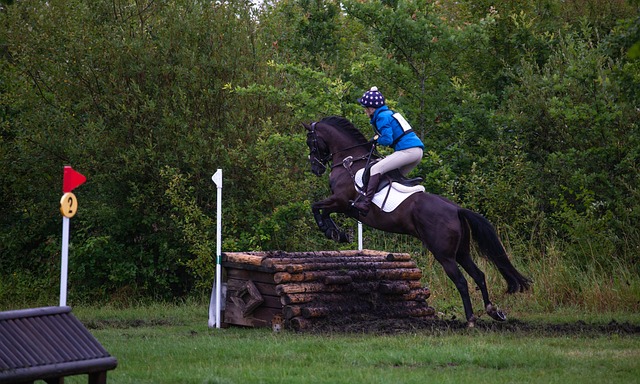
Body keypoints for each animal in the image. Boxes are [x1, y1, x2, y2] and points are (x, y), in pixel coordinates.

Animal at [304, 115, 528, 326]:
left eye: (310, 142)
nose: (316, 168)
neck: (349, 161)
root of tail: (456, 210)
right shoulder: (340, 203)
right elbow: (321, 209)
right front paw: (336, 232)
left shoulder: (342, 201)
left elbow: (317, 207)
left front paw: (332, 232)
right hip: (461, 252)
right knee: (479, 275)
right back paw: (493, 311)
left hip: (444, 254)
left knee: (462, 281)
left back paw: (471, 319)